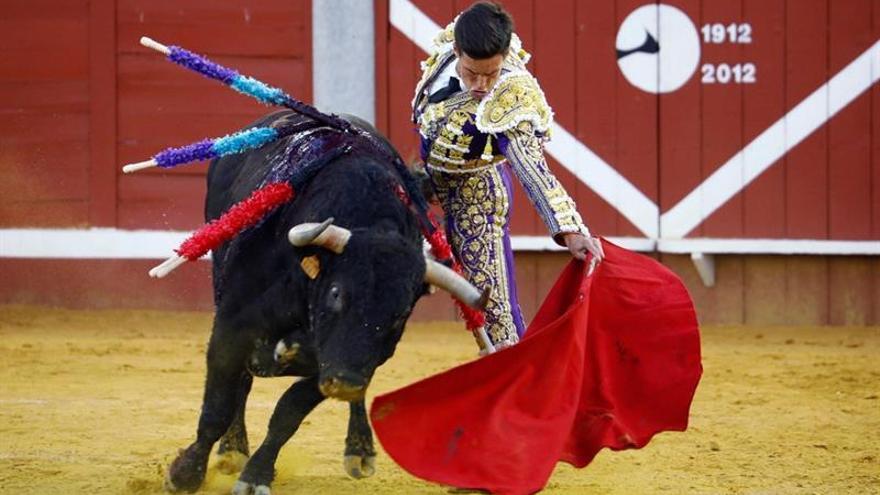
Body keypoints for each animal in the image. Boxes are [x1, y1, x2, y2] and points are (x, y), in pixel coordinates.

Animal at [162, 110, 484, 494]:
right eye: (336, 293)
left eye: (400, 313)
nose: (346, 382)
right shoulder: (232, 327)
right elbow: (218, 406)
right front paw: (185, 473)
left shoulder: (343, 362)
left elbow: (288, 412)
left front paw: (256, 475)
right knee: (240, 386)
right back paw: (233, 449)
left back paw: (359, 448)